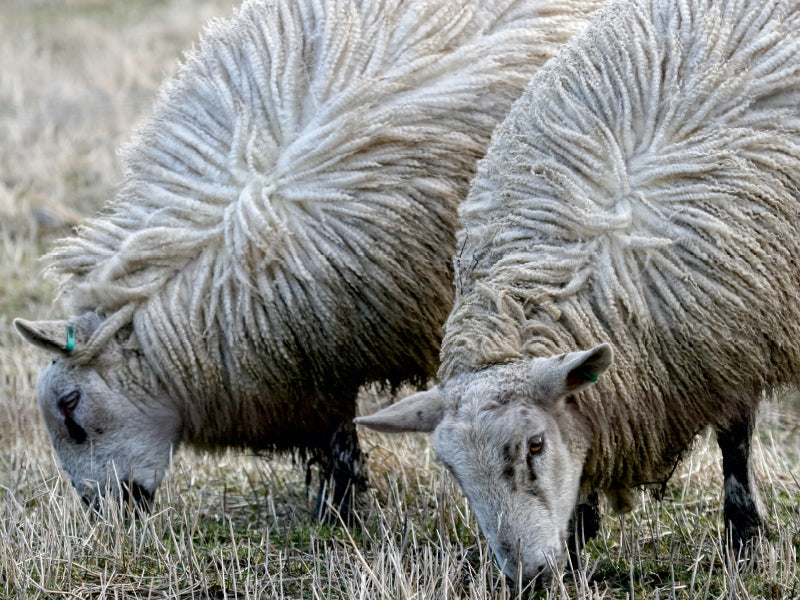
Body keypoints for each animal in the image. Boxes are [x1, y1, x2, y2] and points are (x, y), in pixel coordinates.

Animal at [355, 0, 800, 585]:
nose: (527, 577)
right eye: (452, 469)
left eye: (535, 445)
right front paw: (576, 539)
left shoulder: (732, 337)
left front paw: (744, 539)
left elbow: (735, 440)